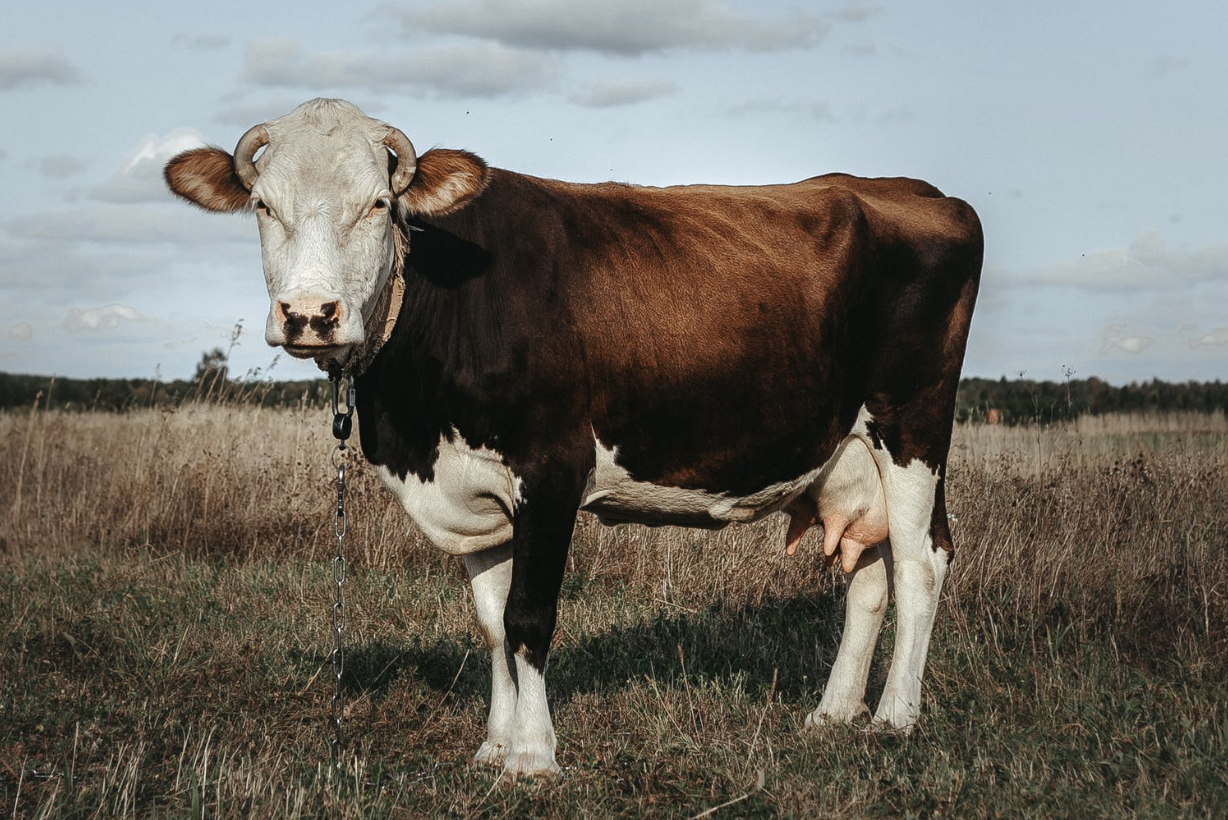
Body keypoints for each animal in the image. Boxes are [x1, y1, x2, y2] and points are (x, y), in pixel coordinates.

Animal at [168, 97, 982, 775]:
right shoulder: (476, 488)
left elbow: (529, 617)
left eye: (378, 204)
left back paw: (895, 718)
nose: (310, 314)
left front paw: (534, 756)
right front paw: (494, 747)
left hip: (913, 426)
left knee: (920, 562)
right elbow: (492, 625)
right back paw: (834, 713)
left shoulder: (551, 471)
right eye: (263, 206)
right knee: (870, 570)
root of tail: (917, 191)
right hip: (848, 453)